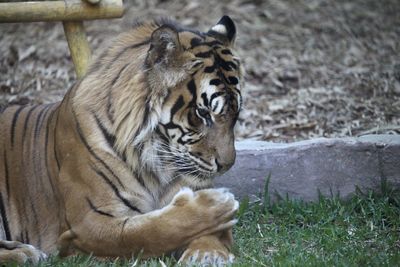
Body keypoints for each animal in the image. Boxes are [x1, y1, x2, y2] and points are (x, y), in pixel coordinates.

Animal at [0, 16, 244, 266]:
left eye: (235, 114)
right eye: (202, 113)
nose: (227, 165)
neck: (155, 160)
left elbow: (207, 233)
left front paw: (208, 254)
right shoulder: (88, 222)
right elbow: (149, 230)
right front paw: (217, 204)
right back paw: (25, 253)